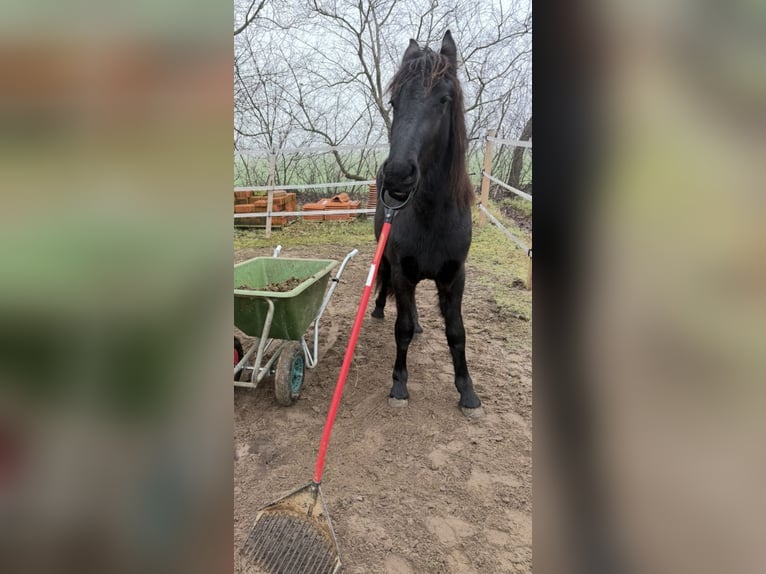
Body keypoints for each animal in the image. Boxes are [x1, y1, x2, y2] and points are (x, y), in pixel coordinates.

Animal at [372, 30, 481, 411]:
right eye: (393, 101)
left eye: (444, 99)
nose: (398, 175)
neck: (433, 216)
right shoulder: (402, 271)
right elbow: (401, 327)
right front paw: (399, 385)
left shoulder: (455, 276)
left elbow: (457, 332)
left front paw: (467, 391)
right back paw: (378, 311)